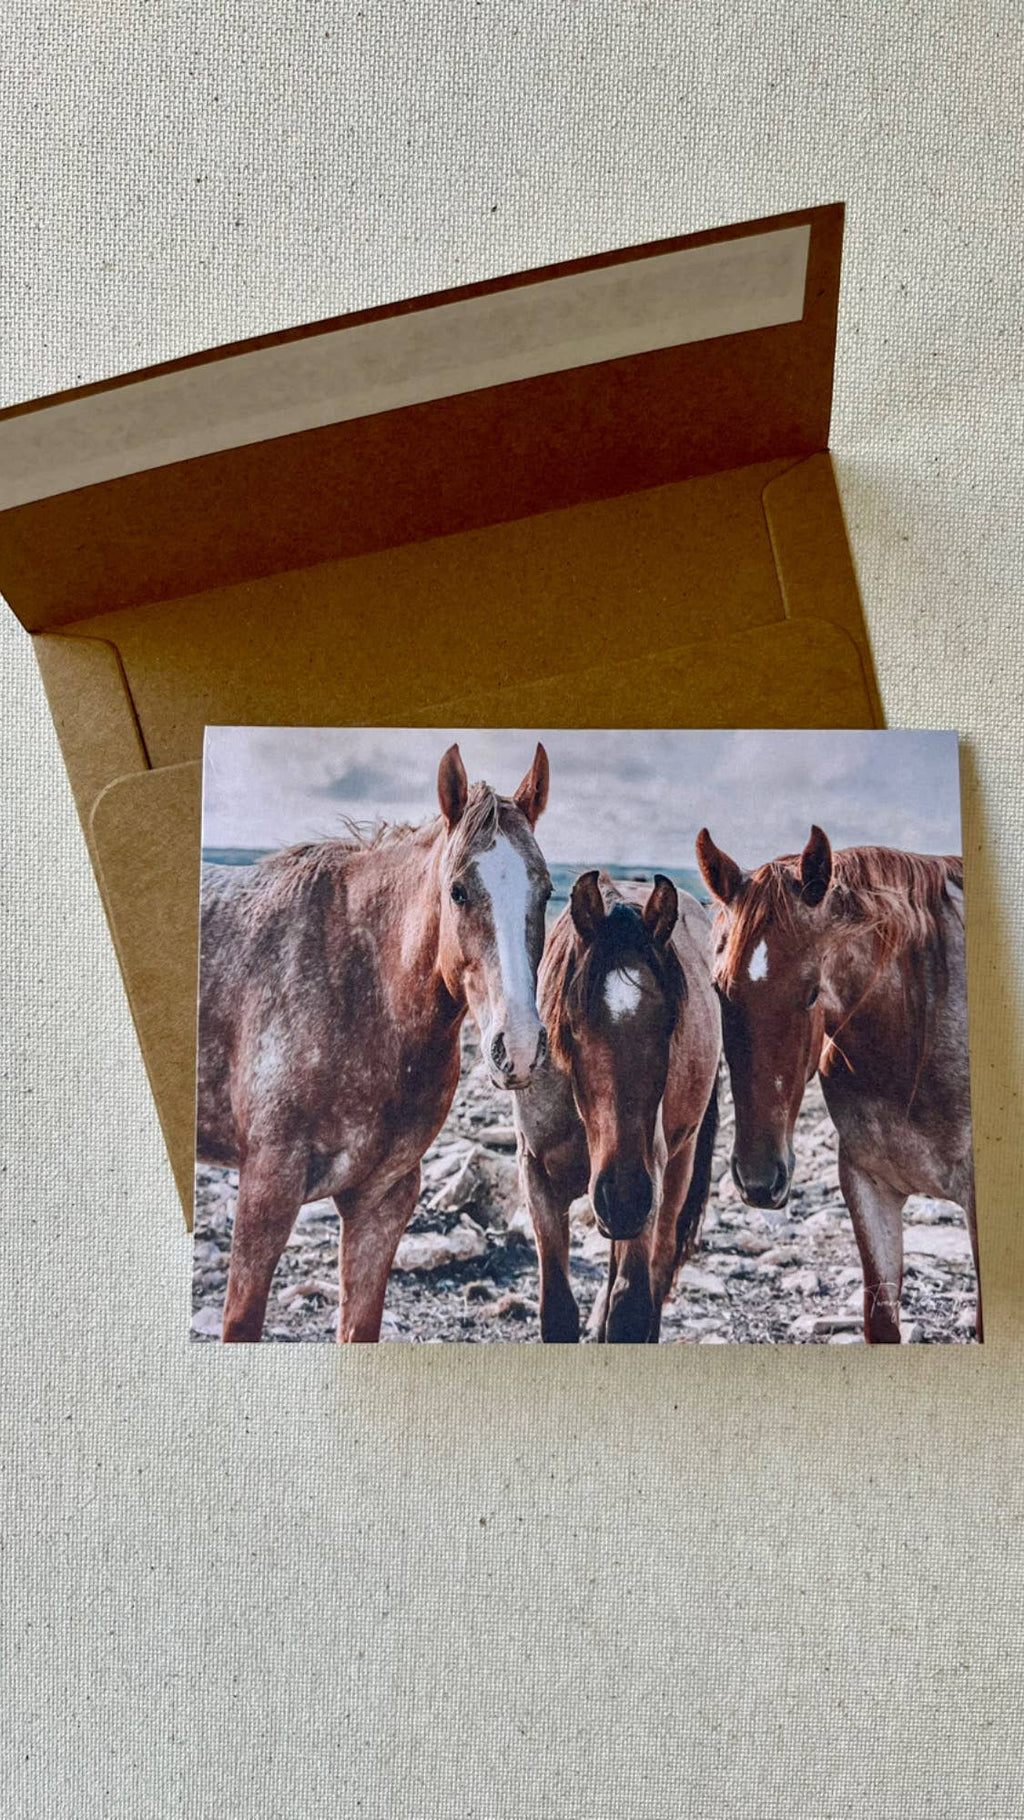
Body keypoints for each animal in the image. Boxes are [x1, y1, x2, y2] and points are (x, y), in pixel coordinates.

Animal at [514, 871, 721, 1343]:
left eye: (671, 1022)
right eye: (572, 1024)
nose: (624, 1196)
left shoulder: (649, 1178)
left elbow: (631, 1308)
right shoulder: (536, 1176)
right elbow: (557, 1311)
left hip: (676, 1167)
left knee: (659, 1267)